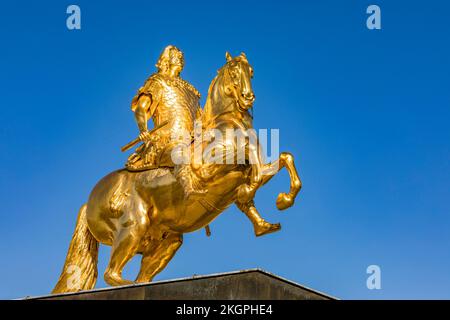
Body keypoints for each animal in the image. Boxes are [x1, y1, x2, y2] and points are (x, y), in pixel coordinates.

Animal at [52, 51, 300, 294]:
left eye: (251, 72)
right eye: (233, 71)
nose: (248, 97)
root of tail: (89, 202)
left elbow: (283, 158)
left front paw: (281, 202)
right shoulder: (206, 172)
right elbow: (251, 160)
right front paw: (254, 192)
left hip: (165, 241)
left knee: (141, 275)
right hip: (133, 227)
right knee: (111, 274)